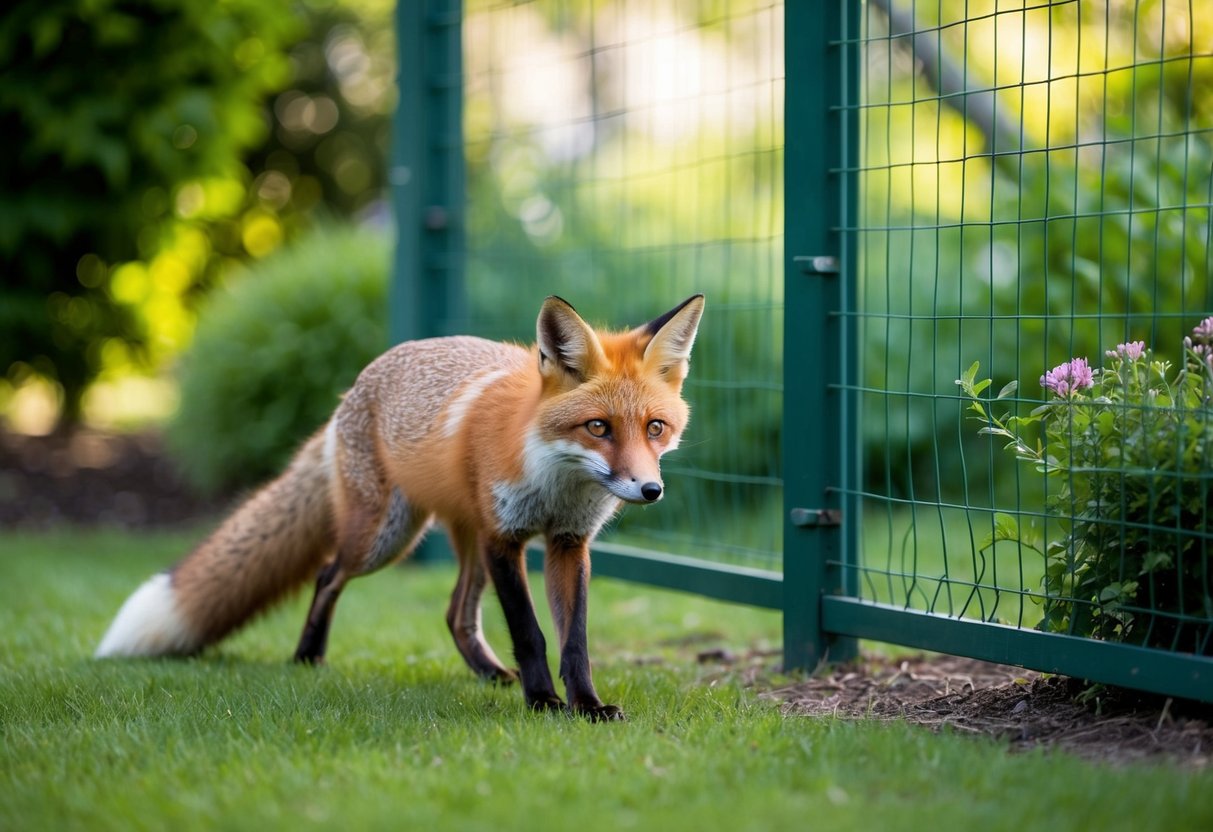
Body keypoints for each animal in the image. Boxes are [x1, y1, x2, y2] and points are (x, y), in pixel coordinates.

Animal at [95, 294, 705, 721]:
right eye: (598, 428)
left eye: (655, 428)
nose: (649, 490)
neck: (557, 483)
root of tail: (355, 386)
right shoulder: (504, 539)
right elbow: (531, 633)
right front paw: (544, 704)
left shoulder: (567, 545)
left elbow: (574, 641)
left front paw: (587, 706)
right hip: (386, 538)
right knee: (328, 574)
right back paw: (308, 656)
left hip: (462, 544)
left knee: (456, 615)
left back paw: (489, 674)